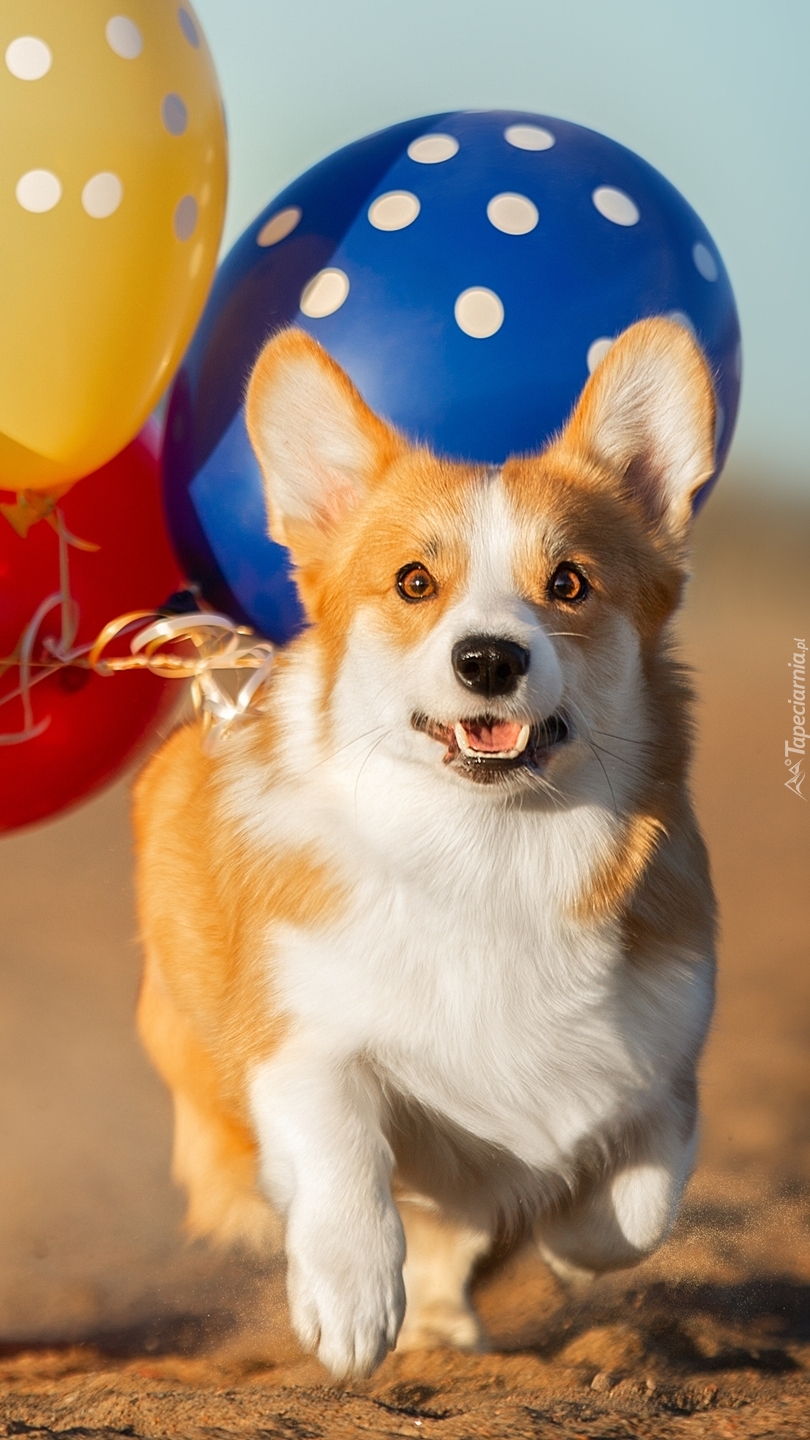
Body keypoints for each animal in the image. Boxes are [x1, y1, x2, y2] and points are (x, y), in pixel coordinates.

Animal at [132, 321, 711, 1376]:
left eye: (569, 583)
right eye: (414, 582)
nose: (488, 659)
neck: (486, 851)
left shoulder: (667, 1061)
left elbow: (639, 1200)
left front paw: (568, 1246)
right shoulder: (299, 1036)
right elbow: (344, 1144)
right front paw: (350, 1299)